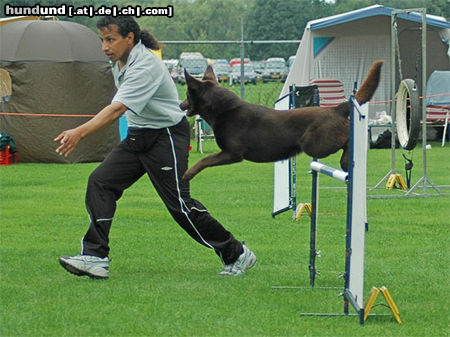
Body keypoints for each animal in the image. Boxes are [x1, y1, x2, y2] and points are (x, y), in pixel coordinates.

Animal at [179, 59, 384, 180]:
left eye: (187, 95)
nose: (180, 105)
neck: (224, 110)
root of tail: (337, 107)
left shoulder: (232, 153)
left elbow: (204, 160)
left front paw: (187, 174)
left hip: (314, 144)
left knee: (347, 140)